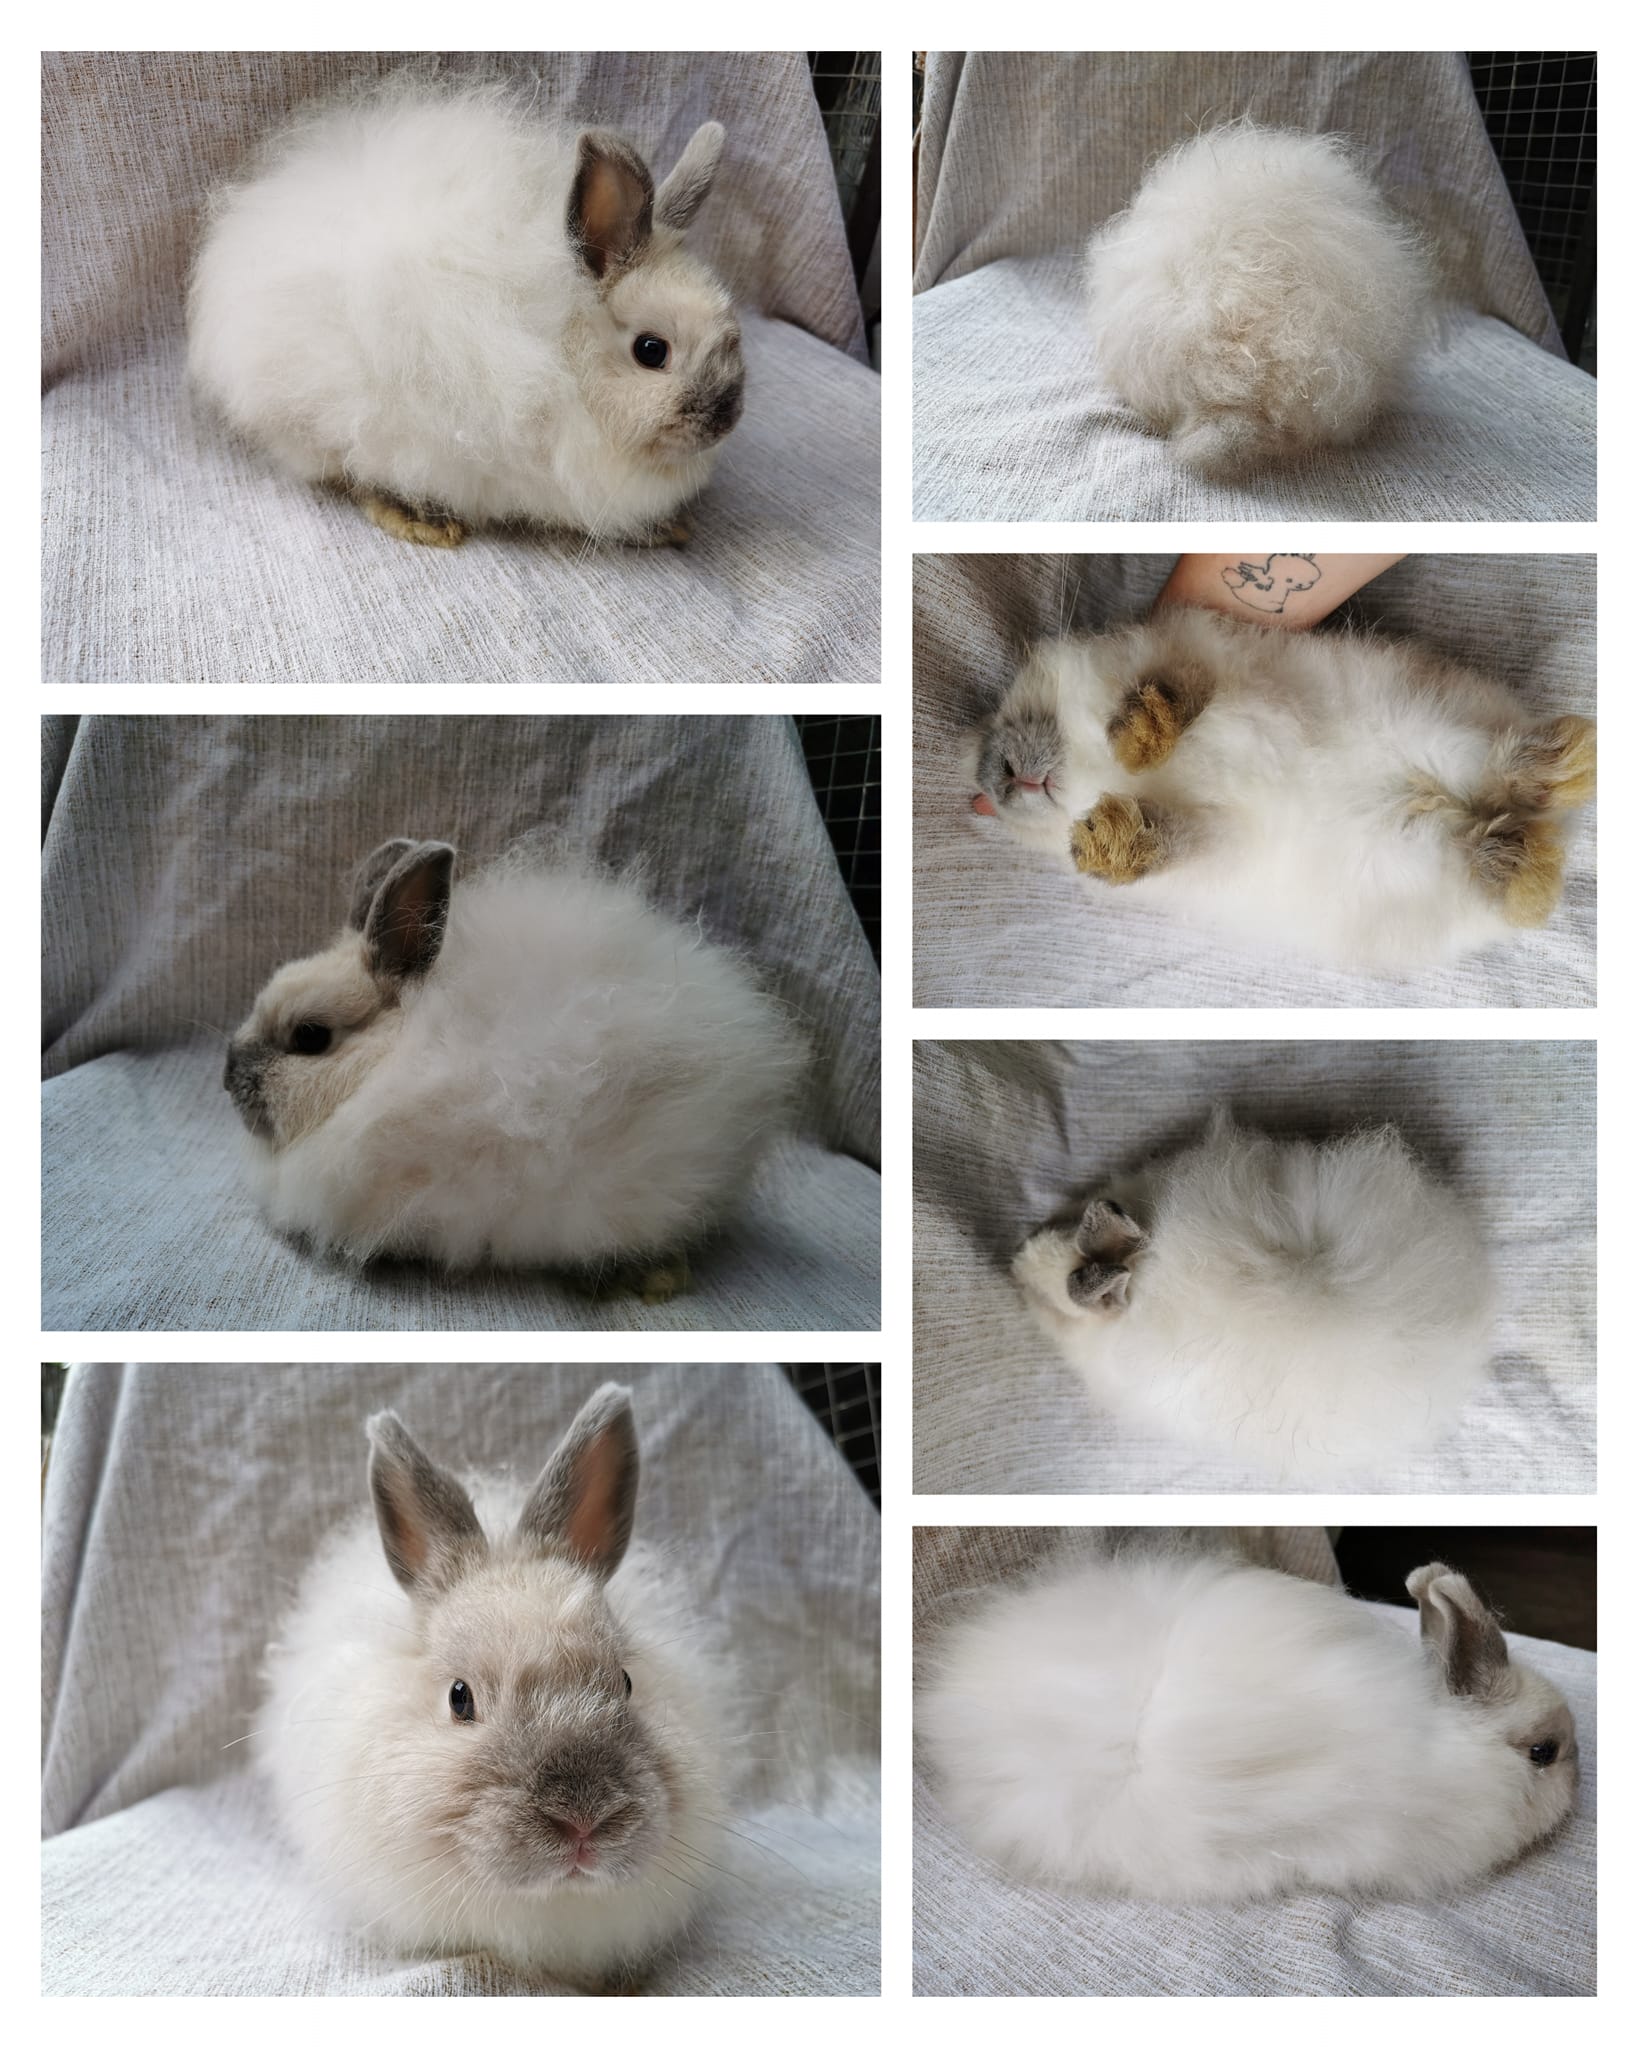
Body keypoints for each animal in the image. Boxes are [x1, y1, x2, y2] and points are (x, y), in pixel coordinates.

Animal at [965, 604, 1596, 973]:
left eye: (1004, 721)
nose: (1002, 778)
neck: (1095, 768)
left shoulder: (1192, 653)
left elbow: (1179, 691)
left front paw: (1140, 735)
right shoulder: (1216, 838)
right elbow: (1170, 837)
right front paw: (1106, 842)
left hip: (1435, 731)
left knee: (1497, 766)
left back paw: (1569, 759)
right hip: (1425, 848)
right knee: (1489, 851)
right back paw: (1529, 859)